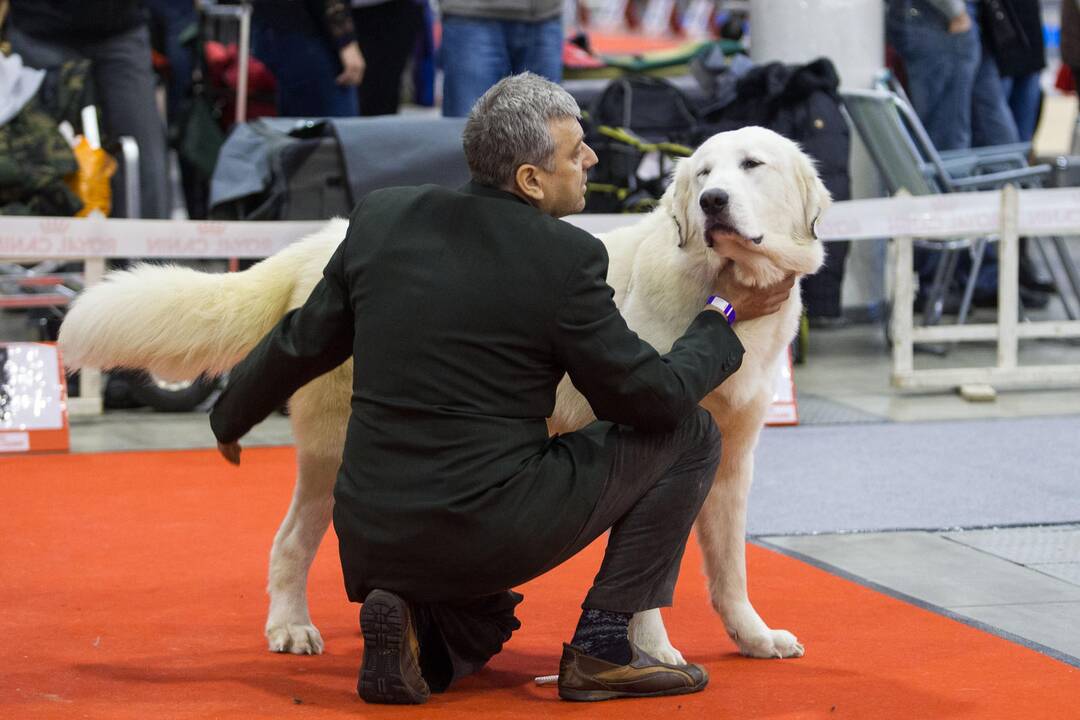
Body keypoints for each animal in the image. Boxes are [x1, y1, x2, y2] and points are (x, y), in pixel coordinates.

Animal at [59, 126, 825, 669]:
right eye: (704, 175)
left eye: (751, 166)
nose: (712, 203)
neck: (720, 291)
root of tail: (318, 241)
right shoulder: (663, 421)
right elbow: (648, 575)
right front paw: (654, 651)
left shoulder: (733, 461)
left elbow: (729, 569)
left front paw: (753, 637)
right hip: (331, 454)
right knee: (290, 541)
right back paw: (290, 627)